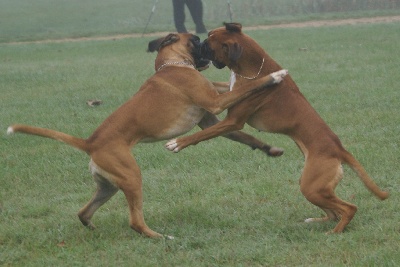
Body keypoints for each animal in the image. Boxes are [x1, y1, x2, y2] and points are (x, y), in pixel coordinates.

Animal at [6, 32, 288, 240]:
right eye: (195, 40)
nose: (205, 45)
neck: (172, 64)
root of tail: (90, 143)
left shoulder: (210, 115)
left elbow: (242, 133)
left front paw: (269, 149)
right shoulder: (215, 102)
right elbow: (245, 88)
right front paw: (273, 76)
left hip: (108, 186)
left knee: (83, 212)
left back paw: (94, 229)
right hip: (132, 177)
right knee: (135, 221)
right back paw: (160, 237)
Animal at [166, 24, 388, 234]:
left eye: (210, 44)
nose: (200, 42)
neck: (253, 67)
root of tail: (339, 148)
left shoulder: (233, 121)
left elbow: (201, 134)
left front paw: (178, 143)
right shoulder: (227, 95)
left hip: (312, 187)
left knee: (349, 208)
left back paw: (334, 232)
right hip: (312, 186)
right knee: (334, 212)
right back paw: (317, 222)